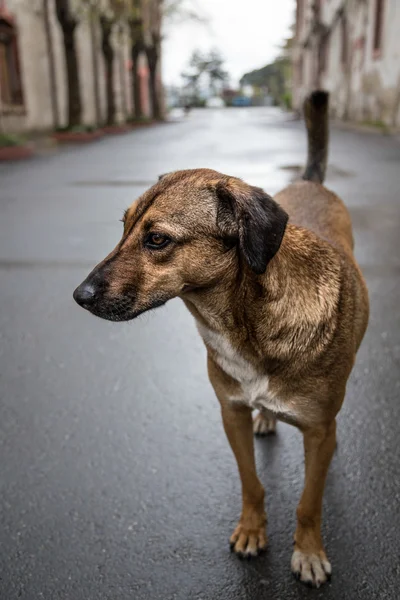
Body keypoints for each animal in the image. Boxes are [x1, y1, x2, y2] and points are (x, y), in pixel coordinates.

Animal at [74, 91, 368, 588]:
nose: (79, 296)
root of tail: (308, 181)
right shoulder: (231, 414)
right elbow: (252, 483)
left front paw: (308, 552)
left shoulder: (316, 432)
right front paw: (251, 531)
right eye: (124, 227)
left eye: (157, 239)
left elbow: (308, 503)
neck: (245, 323)